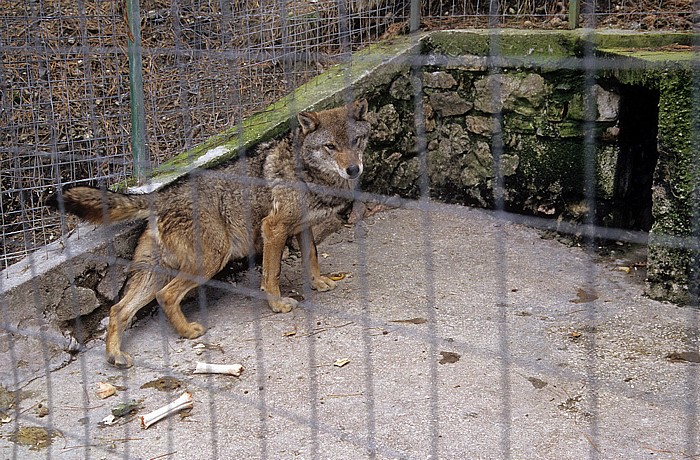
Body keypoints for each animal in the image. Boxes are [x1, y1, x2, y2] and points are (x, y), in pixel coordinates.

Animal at [48, 99, 369, 368]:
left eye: (356, 141)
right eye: (330, 147)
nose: (353, 169)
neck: (310, 173)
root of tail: (158, 197)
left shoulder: (302, 228)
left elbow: (312, 257)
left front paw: (319, 282)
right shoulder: (274, 228)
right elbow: (272, 274)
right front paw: (277, 305)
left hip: (156, 273)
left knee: (118, 310)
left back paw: (116, 355)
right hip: (212, 260)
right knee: (165, 296)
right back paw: (188, 332)